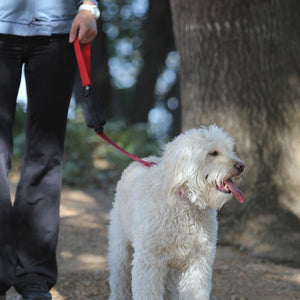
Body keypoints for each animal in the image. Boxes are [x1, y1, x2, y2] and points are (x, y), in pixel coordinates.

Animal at [106, 125, 245, 300]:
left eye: (230, 150)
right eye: (213, 153)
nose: (241, 166)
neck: (186, 202)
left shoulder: (198, 261)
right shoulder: (149, 261)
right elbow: (147, 291)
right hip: (121, 251)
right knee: (119, 278)